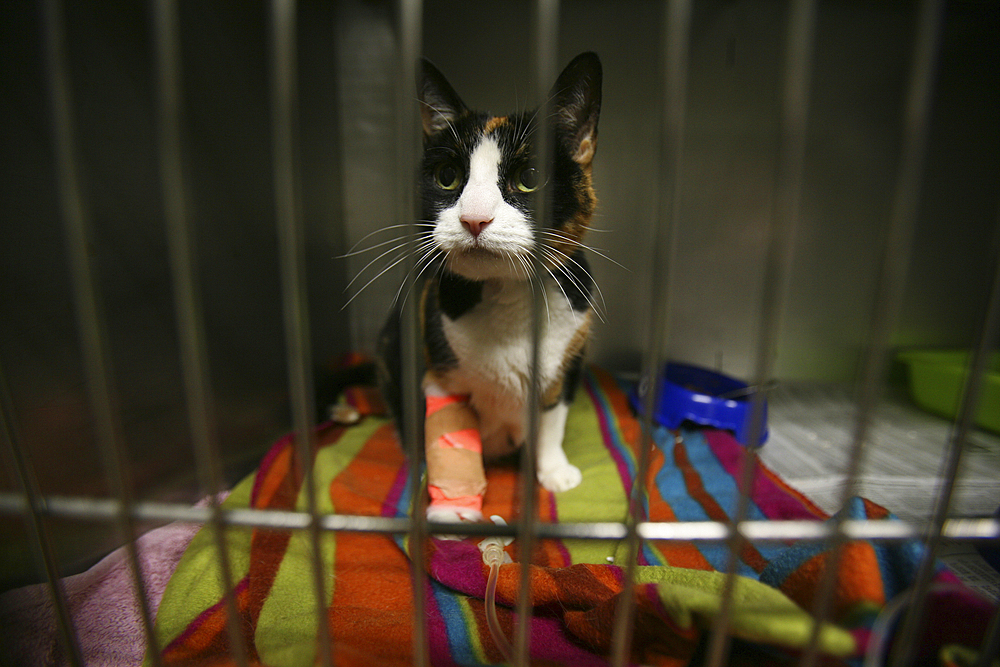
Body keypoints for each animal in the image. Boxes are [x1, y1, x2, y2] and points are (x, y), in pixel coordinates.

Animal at [378, 51, 600, 528]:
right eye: (447, 176)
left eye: (530, 176)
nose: (474, 218)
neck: (510, 298)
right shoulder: (441, 377)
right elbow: (451, 435)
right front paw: (453, 509)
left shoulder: (570, 359)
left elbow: (552, 416)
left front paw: (553, 471)